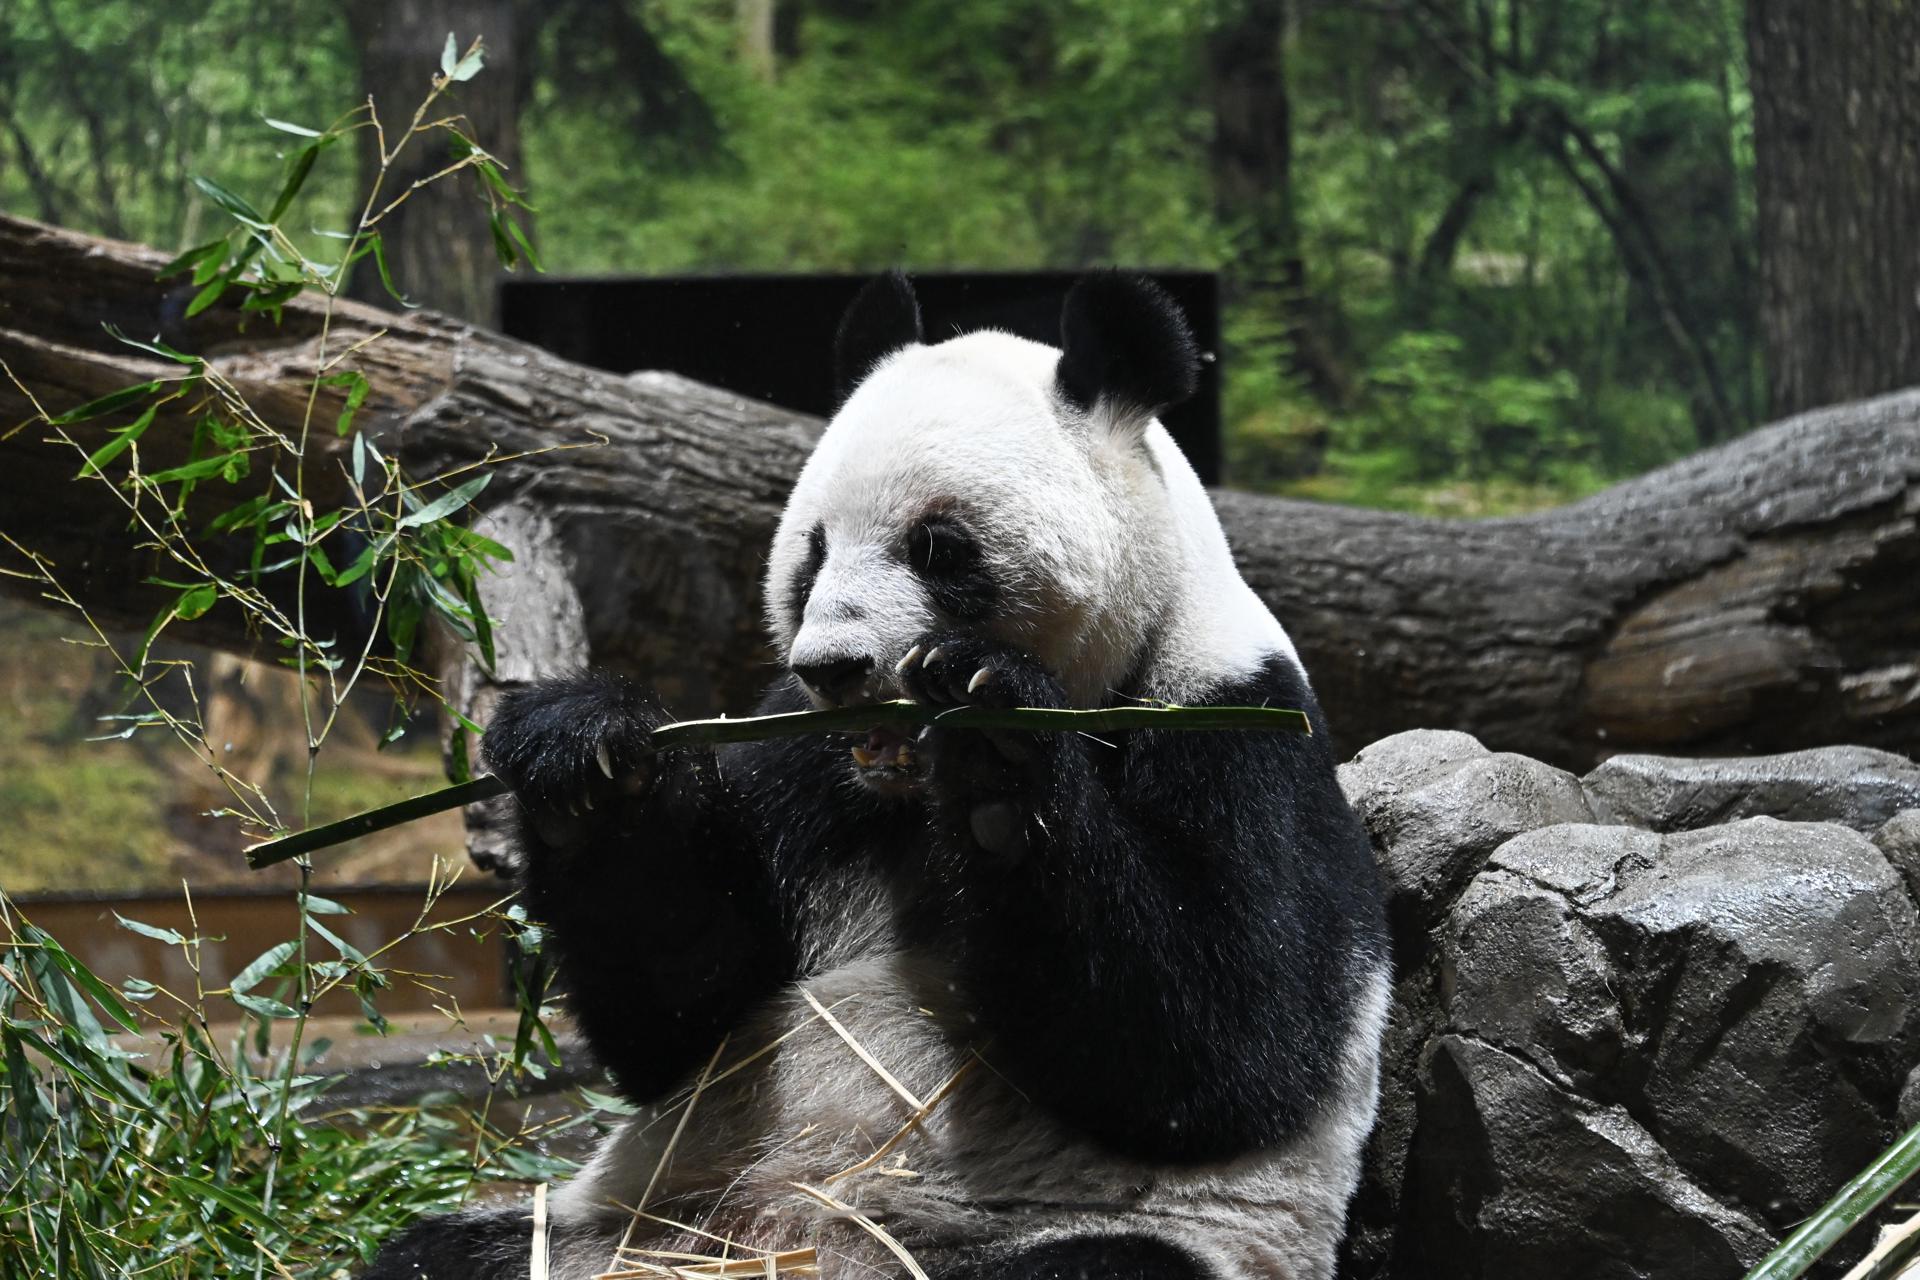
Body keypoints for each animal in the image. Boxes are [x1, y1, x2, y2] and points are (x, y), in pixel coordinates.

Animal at [365, 274, 1390, 1280]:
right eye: (812, 550)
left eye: (938, 548)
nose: (833, 667)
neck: (906, 797)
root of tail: (792, 1242)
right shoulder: (796, 758)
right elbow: (680, 1013)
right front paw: (588, 763)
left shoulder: (1234, 725)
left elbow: (1226, 1051)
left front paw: (995, 748)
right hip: (638, 1229)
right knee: (443, 1255)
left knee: (1111, 1263)